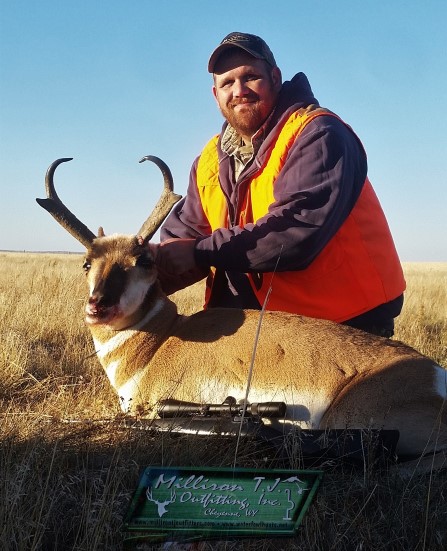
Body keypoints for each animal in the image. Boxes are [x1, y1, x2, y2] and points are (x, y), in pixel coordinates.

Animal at [36, 157, 447, 468]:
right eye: (87, 264)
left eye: (144, 260)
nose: (98, 306)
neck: (159, 342)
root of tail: (437, 379)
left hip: (348, 418)